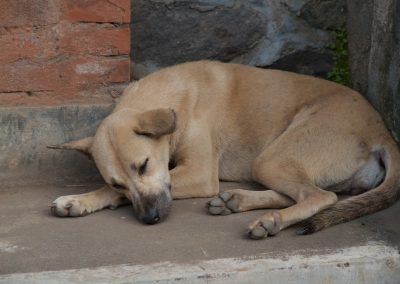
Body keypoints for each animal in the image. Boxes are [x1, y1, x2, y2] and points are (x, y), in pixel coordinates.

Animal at [49, 61, 400, 239]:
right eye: (118, 181)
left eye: (144, 165)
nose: (150, 219)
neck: (173, 97)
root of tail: (382, 131)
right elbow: (108, 193)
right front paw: (79, 201)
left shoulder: (199, 174)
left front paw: (84, 198)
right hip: (274, 163)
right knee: (307, 194)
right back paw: (237, 200)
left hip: (271, 159)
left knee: (322, 197)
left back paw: (271, 221)